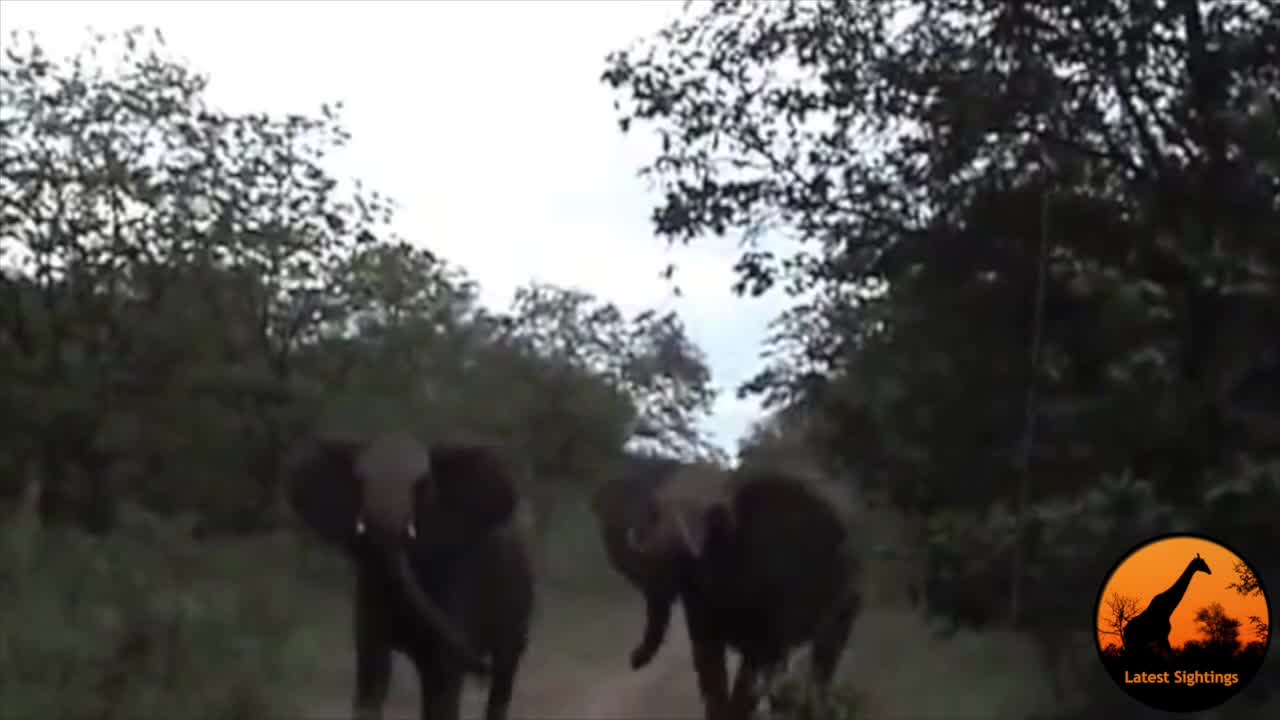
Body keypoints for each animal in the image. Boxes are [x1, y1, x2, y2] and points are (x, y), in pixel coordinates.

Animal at [286, 427, 535, 717]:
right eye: (358, 482)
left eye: (422, 485)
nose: (482, 669)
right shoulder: (370, 581)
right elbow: (373, 672)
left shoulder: (458, 576)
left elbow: (444, 681)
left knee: (503, 672)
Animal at [591, 458, 860, 717]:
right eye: (653, 513)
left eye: (709, 519)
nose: (632, 660)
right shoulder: (702, 604)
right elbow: (710, 667)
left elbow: (751, 674)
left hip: (848, 601)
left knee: (824, 657)